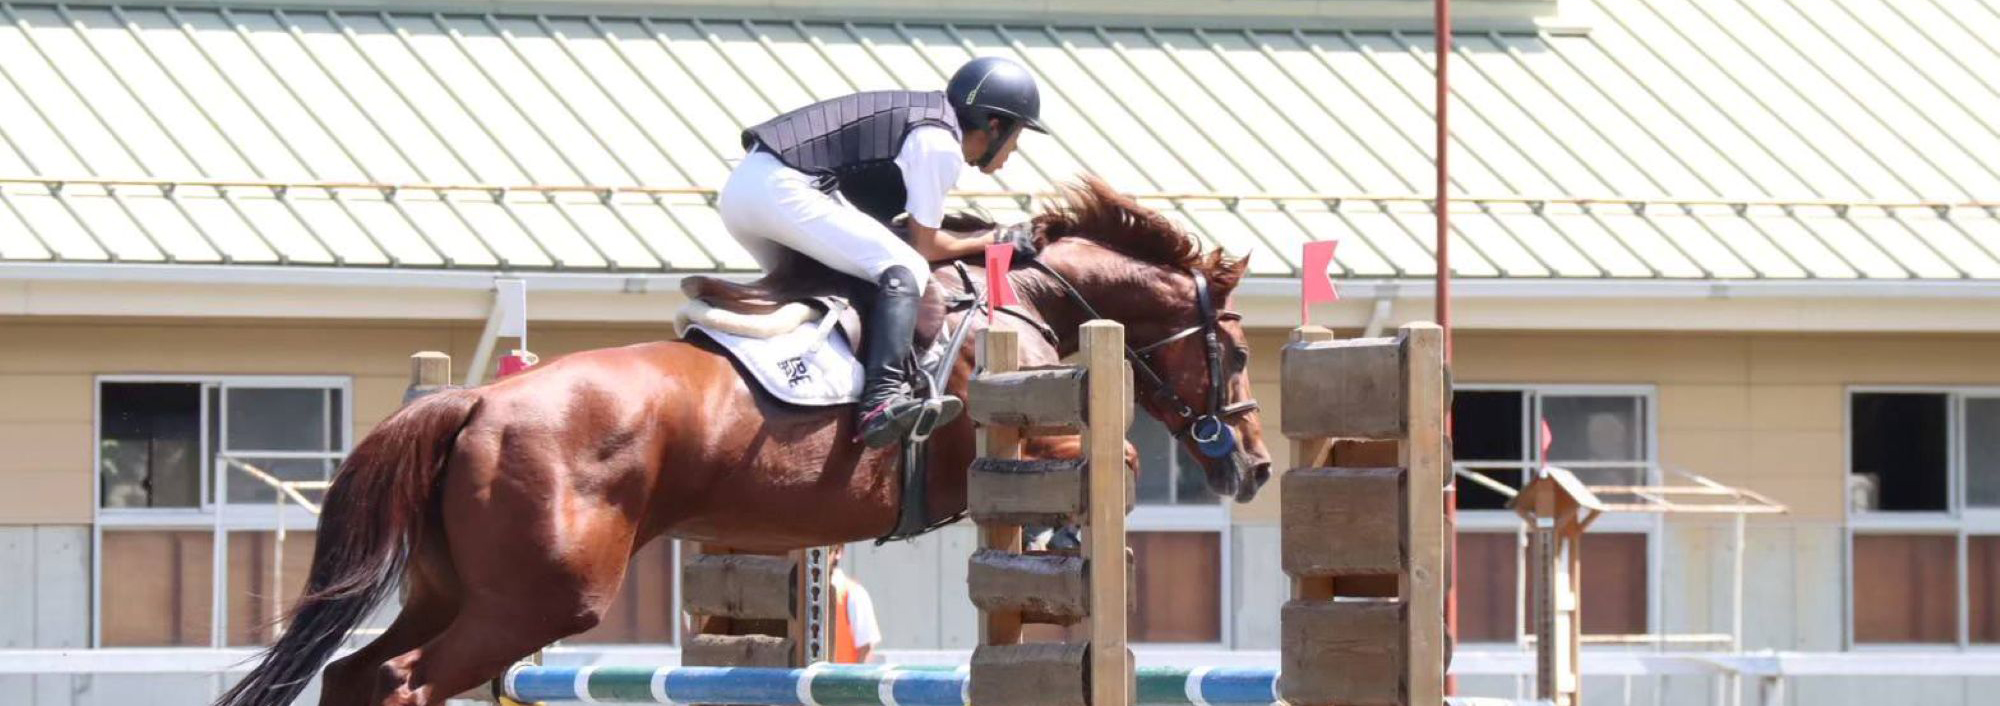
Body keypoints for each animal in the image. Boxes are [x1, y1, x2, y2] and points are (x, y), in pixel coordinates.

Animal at [215, 177, 1272, 706]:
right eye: (1231, 349)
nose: (1255, 465)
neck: (1037, 301)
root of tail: (473, 401)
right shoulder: (996, 443)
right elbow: (1113, 462)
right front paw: (1065, 538)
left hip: (451, 590)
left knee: (355, 674)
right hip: (535, 601)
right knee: (400, 682)